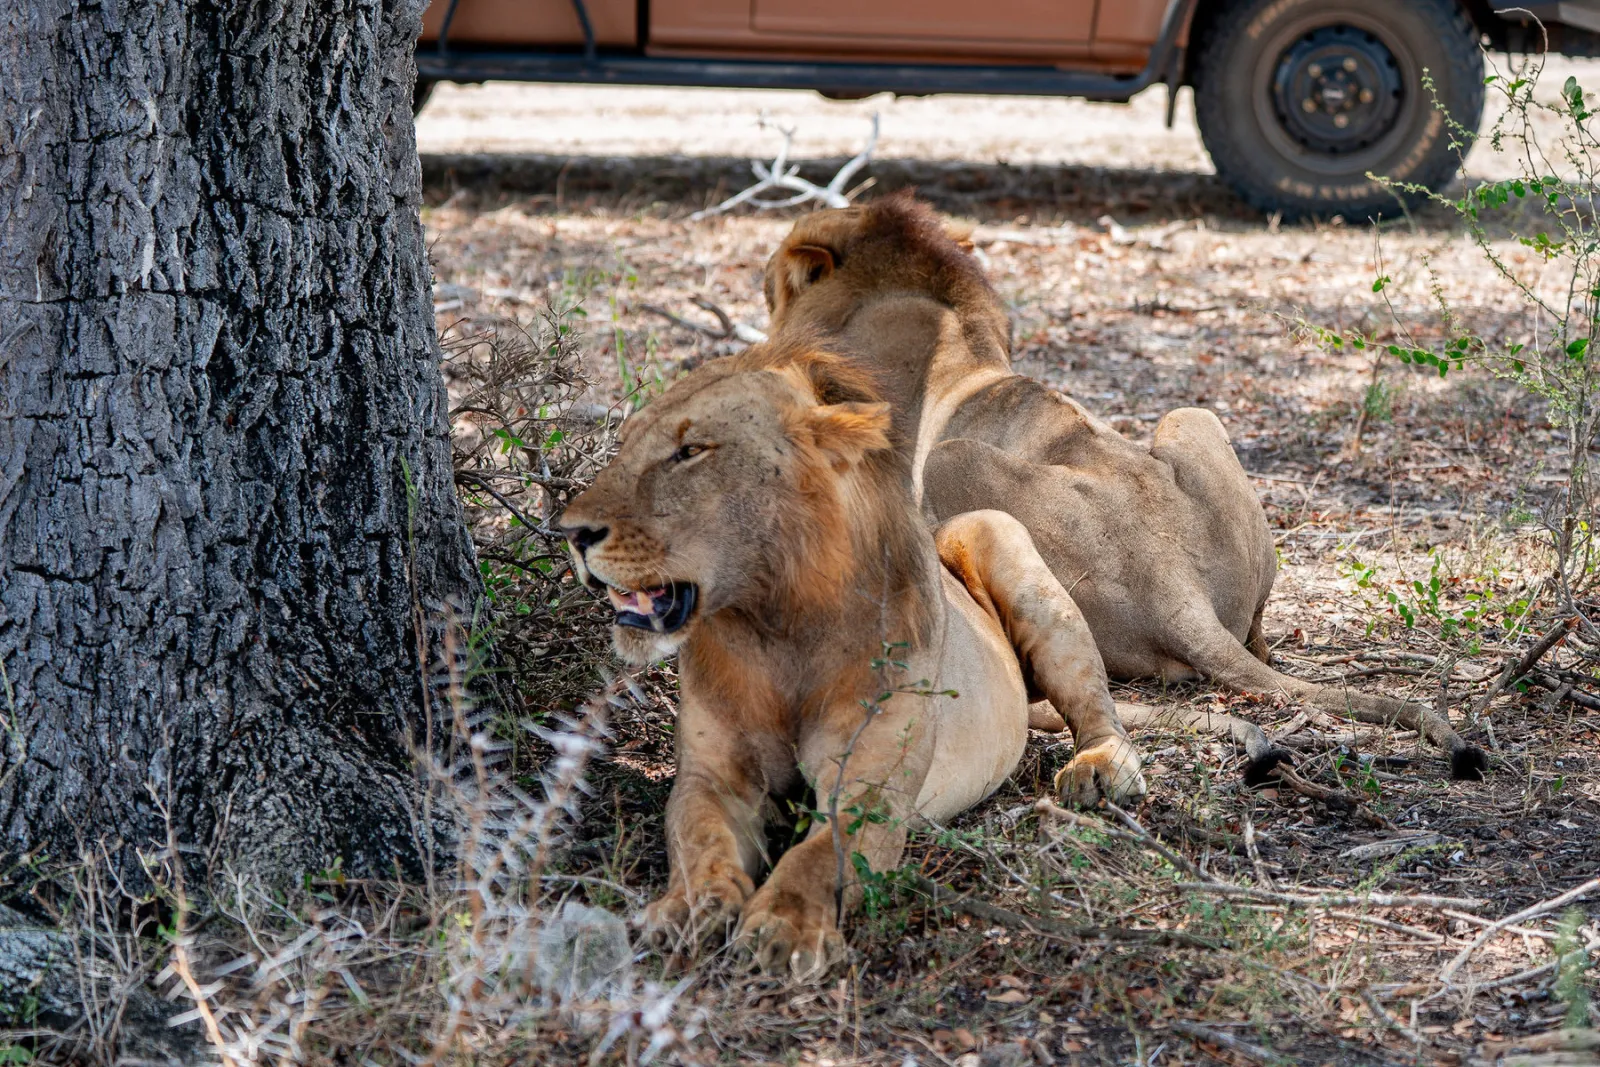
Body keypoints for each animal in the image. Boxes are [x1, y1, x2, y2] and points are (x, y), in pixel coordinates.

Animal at [558, 337, 1146, 980]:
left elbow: (820, 855)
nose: (570, 532)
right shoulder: (711, 777)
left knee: (1097, 708)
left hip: (999, 533)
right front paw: (688, 907)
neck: (778, 624)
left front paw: (785, 927)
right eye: (627, 444)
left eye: (690, 451)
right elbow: (698, 838)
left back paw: (1098, 770)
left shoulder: (871, 787)